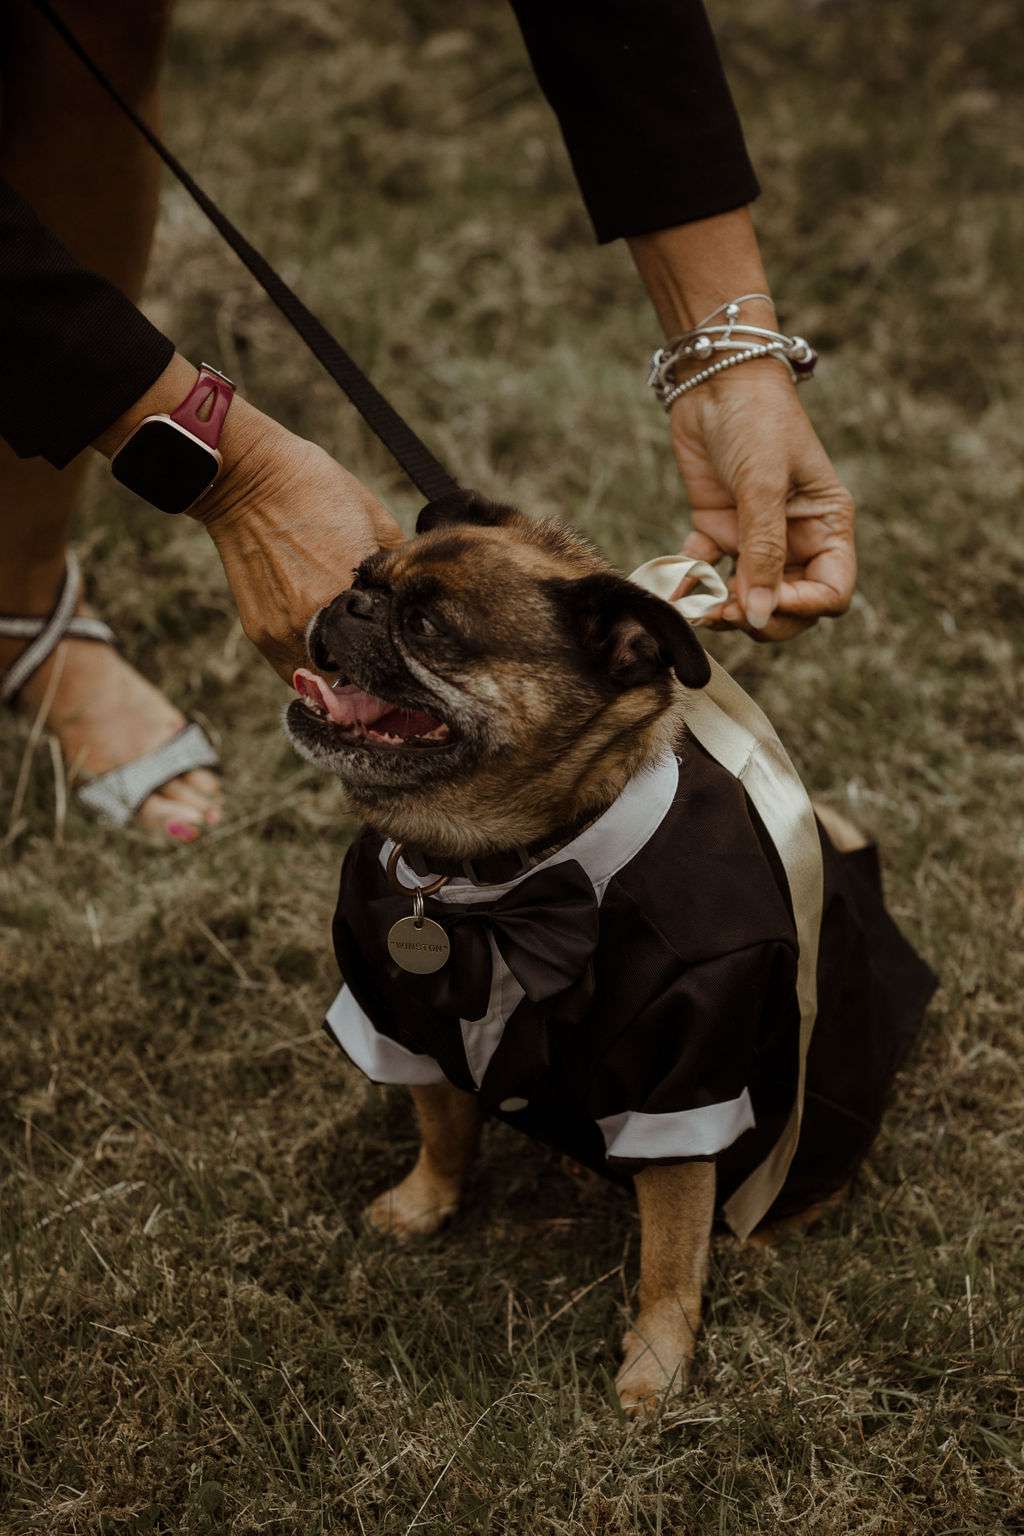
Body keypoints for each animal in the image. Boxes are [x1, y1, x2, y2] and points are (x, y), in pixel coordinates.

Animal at [285, 490, 936, 1411]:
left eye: (431, 627)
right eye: (360, 576)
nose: (350, 604)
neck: (503, 879)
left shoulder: (684, 1083)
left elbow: (670, 1248)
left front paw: (657, 1362)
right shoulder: (403, 1015)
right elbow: (442, 1126)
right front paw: (424, 1203)